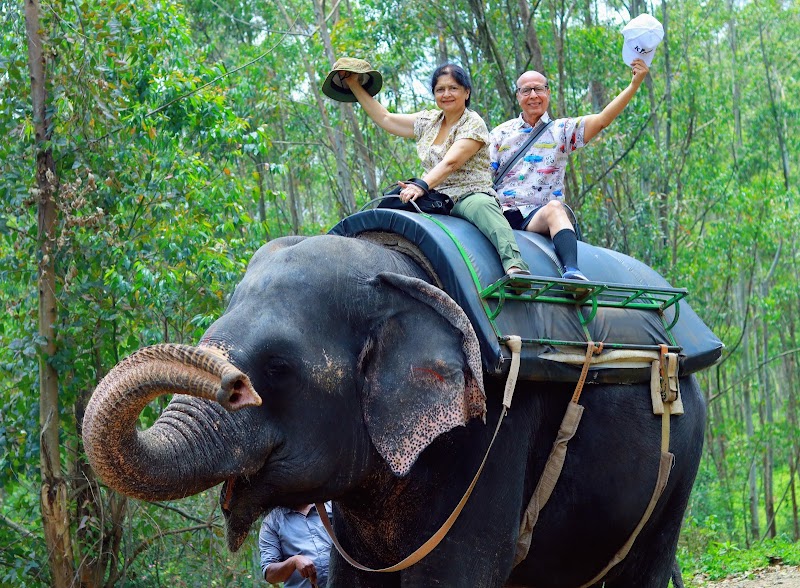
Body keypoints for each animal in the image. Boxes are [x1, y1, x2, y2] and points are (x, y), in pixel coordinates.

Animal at [83, 232, 707, 588]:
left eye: (278, 368)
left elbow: (453, 574)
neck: (404, 273)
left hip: (681, 463)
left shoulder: (493, 428)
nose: (233, 384)